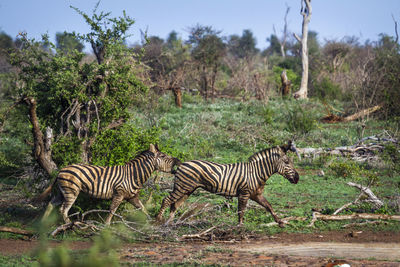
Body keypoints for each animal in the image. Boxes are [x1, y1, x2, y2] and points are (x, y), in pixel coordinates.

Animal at [37, 146, 181, 225]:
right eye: (163, 156)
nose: (178, 160)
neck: (133, 175)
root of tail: (61, 170)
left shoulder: (132, 197)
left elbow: (143, 208)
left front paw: (152, 221)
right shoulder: (119, 193)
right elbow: (112, 210)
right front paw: (106, 226)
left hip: (62, 192)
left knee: (51, 204)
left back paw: (42, 224)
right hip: (71, 191)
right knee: (63, 210)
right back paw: (70, 226)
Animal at [156, 141, 300, 227]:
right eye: (287, 162)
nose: (297, 178)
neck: (256, 172)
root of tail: (182, 164)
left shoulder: (256, 195)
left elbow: (269, 207)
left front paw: (280, 222)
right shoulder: (244, 193)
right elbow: (241, 211)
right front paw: (240, 227)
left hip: (187, 189)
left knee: (175, 205)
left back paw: (170, 224)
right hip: (182, 187)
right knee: (166, 200)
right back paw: (159, 220)